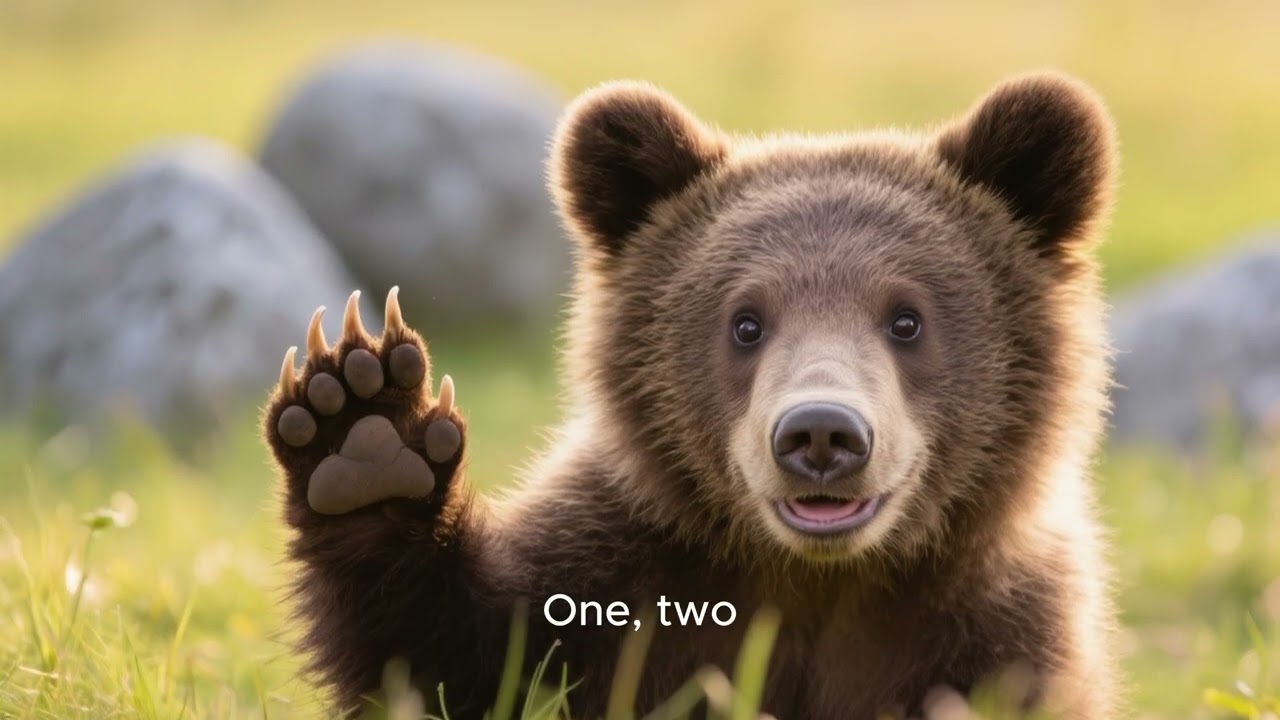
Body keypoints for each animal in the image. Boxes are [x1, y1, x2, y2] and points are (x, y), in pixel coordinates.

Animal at [262, 70, 1119, 719]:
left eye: (906, 318)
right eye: (746, 321)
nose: (821, 434)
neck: (819, 577)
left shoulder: (992, 631)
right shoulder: (620, 583)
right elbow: (461, 664)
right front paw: (364, 431)